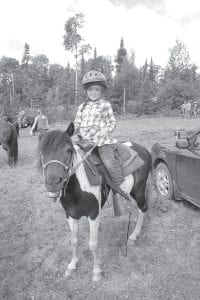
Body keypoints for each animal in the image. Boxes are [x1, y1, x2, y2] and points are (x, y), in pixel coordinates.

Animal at [37, 122, 152, 282]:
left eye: (68, 150)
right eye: (42, 152)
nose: (53, 184)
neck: (77, 189)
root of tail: (144, 149)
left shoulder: (93, 214)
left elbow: (93, 243)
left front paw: (96, 272)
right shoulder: (70, 215)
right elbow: (74, 240)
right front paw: (72, 265)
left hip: (139, 190)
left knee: (143, 208)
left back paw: (134, 236)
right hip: (129, 192)